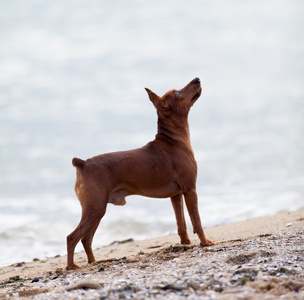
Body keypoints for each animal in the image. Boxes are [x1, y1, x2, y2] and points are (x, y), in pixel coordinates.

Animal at [67, 77, 214, 270]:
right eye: (178, 93)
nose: (197, 78)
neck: (174, 141)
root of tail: (82, 163)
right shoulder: (190, 190)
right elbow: (197, 221)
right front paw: (205, 242)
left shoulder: (176, 195)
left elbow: (181, 223)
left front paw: (185, 243)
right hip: (95, 209)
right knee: (72, 237)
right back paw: (71, 266)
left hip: (96, 211)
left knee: (86, 239)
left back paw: (93, 262)